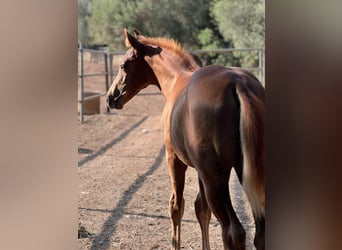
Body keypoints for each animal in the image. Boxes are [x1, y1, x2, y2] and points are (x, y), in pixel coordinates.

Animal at [106, 29, 264, 250]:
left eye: (123, 65)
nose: (111, 97)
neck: (176, 81)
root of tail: (238, 83)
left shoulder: (175, 160)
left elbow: (176, 206)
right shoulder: (199, 171)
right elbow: (201, 209)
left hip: (216, 178)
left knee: (233, 232)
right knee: (260, 233)